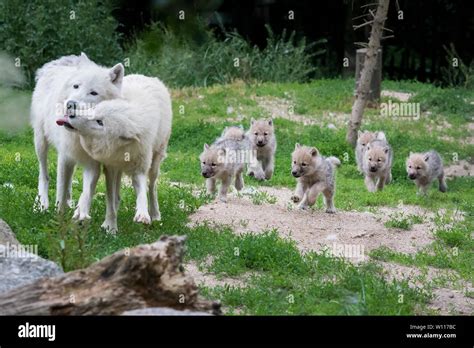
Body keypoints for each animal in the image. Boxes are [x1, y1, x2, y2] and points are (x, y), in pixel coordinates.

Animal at [30, 52, 124, 219]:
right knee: (44, 175)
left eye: (93, 92)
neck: (81, 133)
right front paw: (60, 217)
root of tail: (63, 60)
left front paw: (81, 214)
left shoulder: (93, 163)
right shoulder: (64, 156)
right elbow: (60, 191)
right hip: (40, 142)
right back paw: (42, 204)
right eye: (76, 86)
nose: (70, 104)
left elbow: (87, 191)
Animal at [65, 73, 172, 231]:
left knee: (152, 187)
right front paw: (110, 226)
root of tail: (145, 75)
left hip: (155, 162)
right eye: (94, 111)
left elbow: (142, 193)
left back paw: (155, 214)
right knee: (115, 194)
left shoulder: (140, 168)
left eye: (100, 122)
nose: (71, 114)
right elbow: (109, 199)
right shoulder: (110, 168)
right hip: (117, 170)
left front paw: (143, 214)